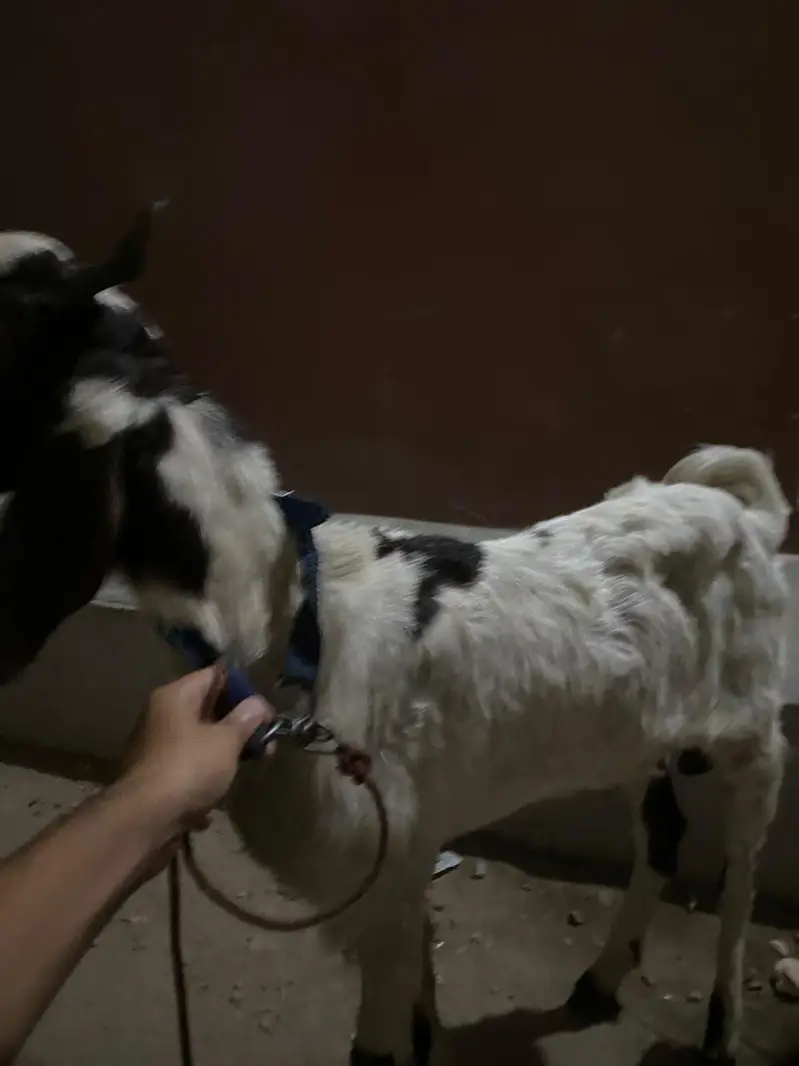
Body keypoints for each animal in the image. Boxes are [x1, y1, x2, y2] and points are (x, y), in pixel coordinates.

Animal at [0, 211, 790, 1066]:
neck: (291, 626)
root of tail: (741, 511)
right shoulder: (400, 877)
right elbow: (418, 1014)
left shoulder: (381, 881)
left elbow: (379, 1047)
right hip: (638, 734)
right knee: (664, 831)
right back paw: (601, 980)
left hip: (753, 732)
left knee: (739, 871)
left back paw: (721, 1029)